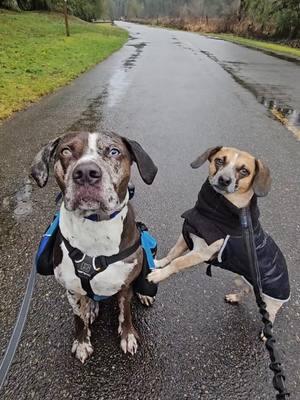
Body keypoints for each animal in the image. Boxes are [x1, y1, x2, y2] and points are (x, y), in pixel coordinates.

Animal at [149, 147, 290, 328]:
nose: (224, 180)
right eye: (219, 160)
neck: (215, 211)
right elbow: (172, 253)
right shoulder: (187, 235)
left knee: (269, 316)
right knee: (246, 292)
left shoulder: (200, 253)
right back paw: (235, 298)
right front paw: (159, 263)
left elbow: (177, 262)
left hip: (271, 303)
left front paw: (158, 275)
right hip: (246, 281)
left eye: (244, 171)